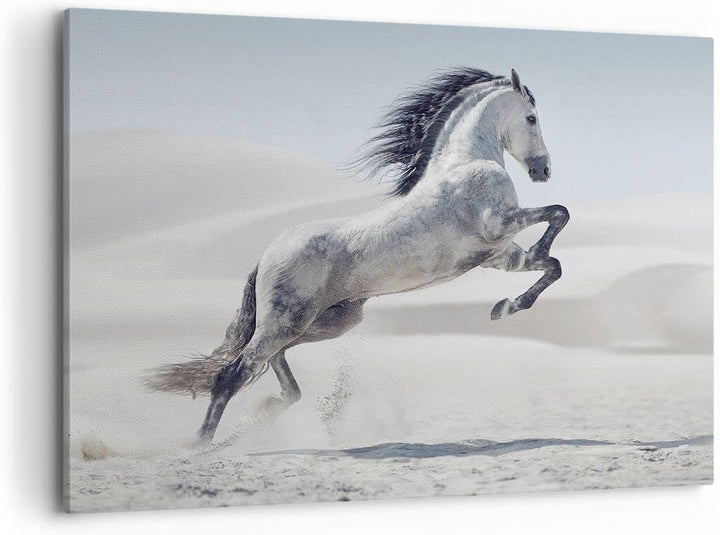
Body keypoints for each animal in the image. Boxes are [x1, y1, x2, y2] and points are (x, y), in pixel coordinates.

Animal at [147, 68, 570, 443]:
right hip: (286, 321)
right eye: (531, 117)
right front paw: (519, 284)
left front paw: (506, 306)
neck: (465, 162)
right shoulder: (499, 224)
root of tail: (267, 256)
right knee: (234, 374)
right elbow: (559, 213)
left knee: (272, 365)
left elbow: (553, 265)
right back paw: (201, 444)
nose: (544, 169)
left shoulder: (499, 254)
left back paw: (263, 414)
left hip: (327, 321)